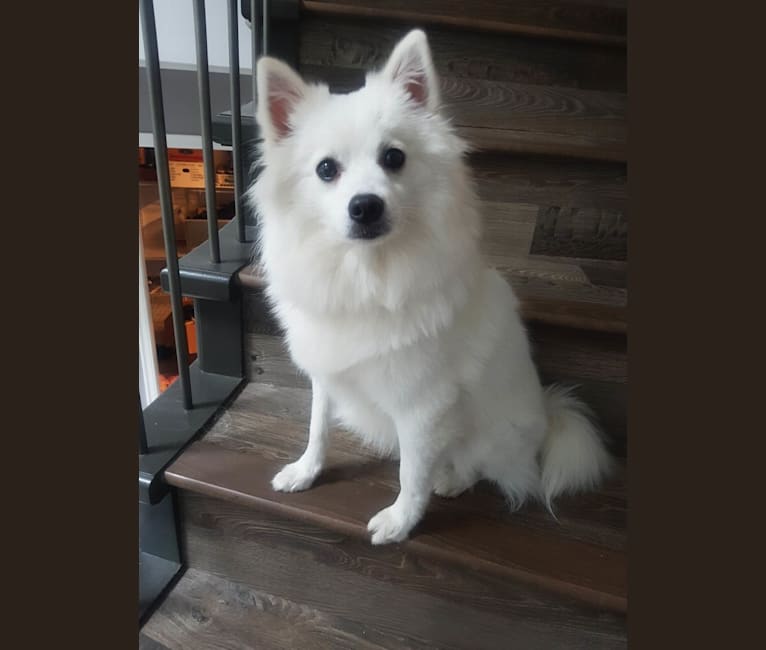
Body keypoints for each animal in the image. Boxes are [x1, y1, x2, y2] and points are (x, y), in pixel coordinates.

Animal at [249, 29, 616, 540]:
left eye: (393, 158)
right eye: (326, 170)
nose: (365, 205)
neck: (368, 275)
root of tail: (546, 414)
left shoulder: (422, 406)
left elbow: (412, 471)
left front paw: (401, 521)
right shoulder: (327, 373)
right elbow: (317, 428)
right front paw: (306, 471)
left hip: (492, 432)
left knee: (484, 465)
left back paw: (453, 479)